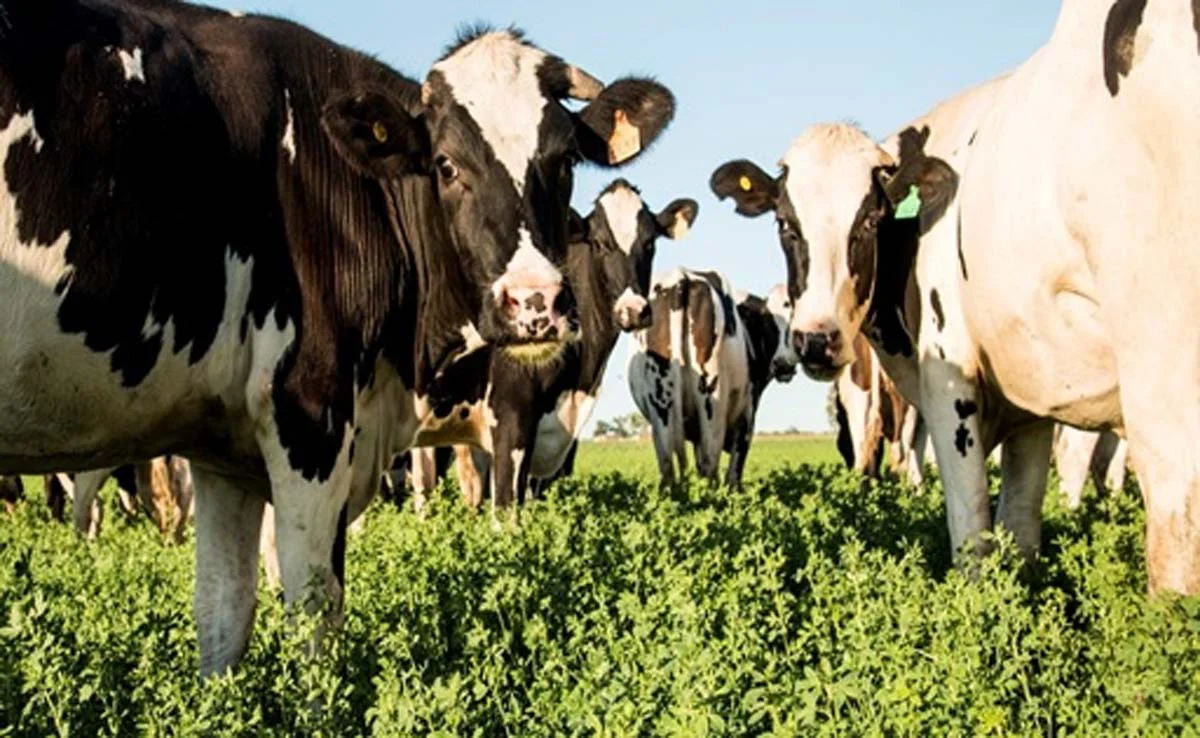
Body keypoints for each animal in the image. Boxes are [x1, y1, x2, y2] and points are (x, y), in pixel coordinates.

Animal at [628, 269, 797, 488]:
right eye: (769, 324)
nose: (784, 364)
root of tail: (682, 277)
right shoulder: (747, 415)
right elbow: (734, 473)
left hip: (661, 405)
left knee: (668, 468)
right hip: (712, 403)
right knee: (711, 464)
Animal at [713, 0, 1200, 594]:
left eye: (870, 220)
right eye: (785, 223)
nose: (816, 341)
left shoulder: (951, 383)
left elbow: (972, 540)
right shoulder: (1030, 400)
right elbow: (1020, 529)